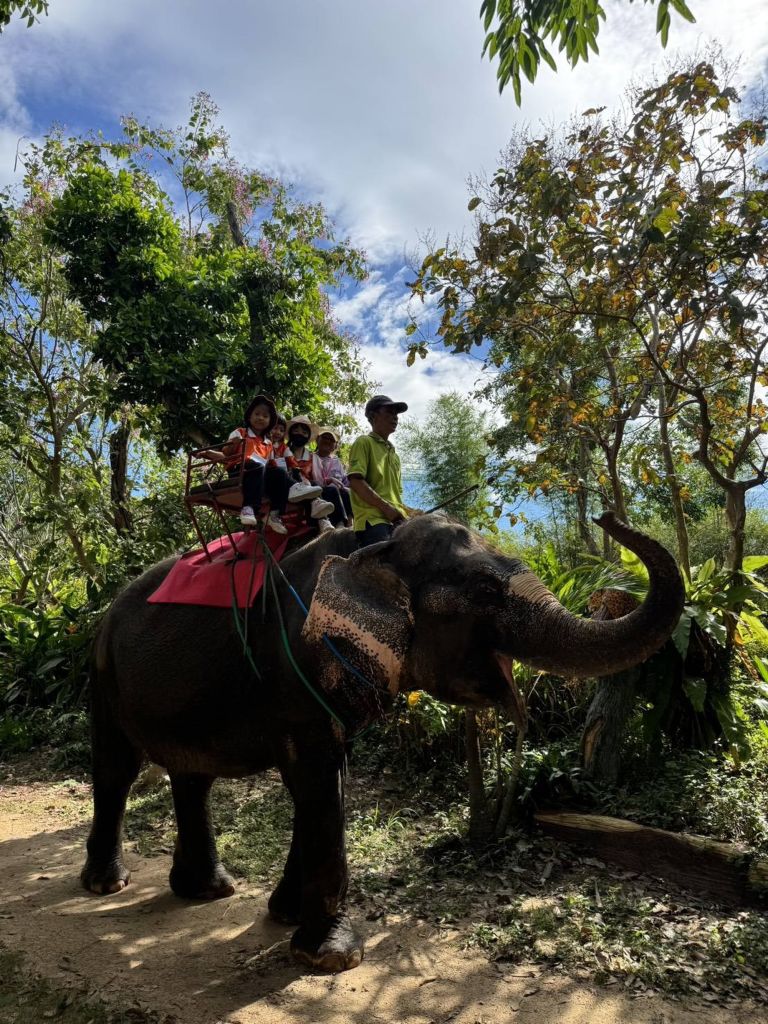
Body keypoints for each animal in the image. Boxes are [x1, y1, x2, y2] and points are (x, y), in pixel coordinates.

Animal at [81, 511, 684, 972]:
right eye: (485, 590)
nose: (608, 519)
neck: (377, 544)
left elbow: (327, 783)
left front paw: (287, 915)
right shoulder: (295, 668)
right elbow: (316, 781)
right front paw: (331, 956)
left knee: (192, 777)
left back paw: (208, 889)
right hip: (103, 670)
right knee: (117, 768)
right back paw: (109, 885)